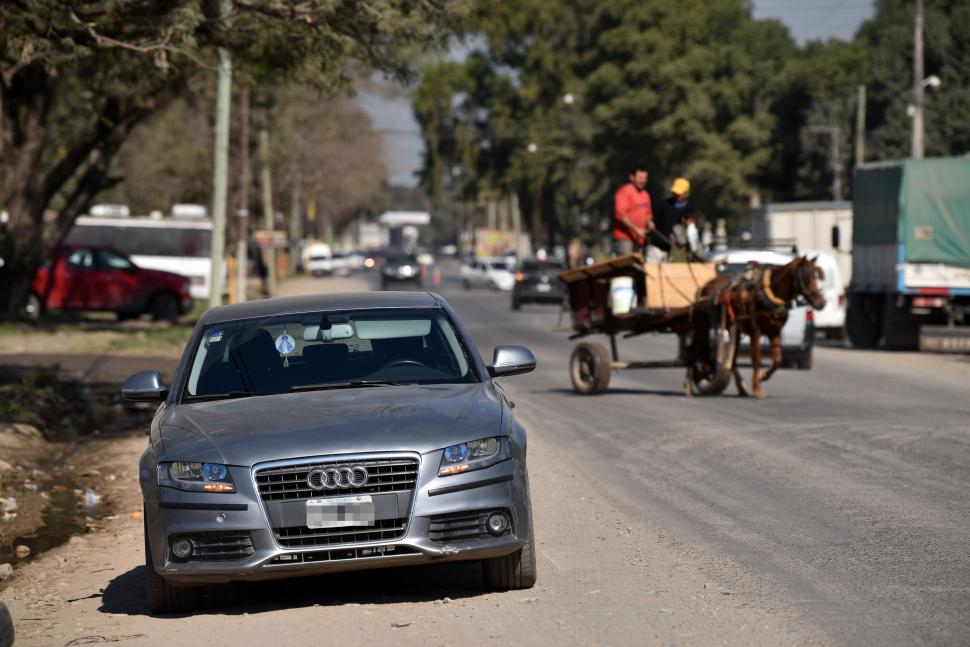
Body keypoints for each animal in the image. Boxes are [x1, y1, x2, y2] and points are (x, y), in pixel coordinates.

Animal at [680, 256, 824, 398]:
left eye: (817, 276)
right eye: (805, 276)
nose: (821, 302)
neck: (769, 294)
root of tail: (704, 287)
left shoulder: (774, 331)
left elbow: (778, 359)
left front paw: (763, 377)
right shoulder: (756, 330)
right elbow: (756, 358)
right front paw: (757, 388)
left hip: (732, 327)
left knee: (732, 360)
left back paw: (741, 387)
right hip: (704, 326)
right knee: (694, 349)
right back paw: (688, 385)